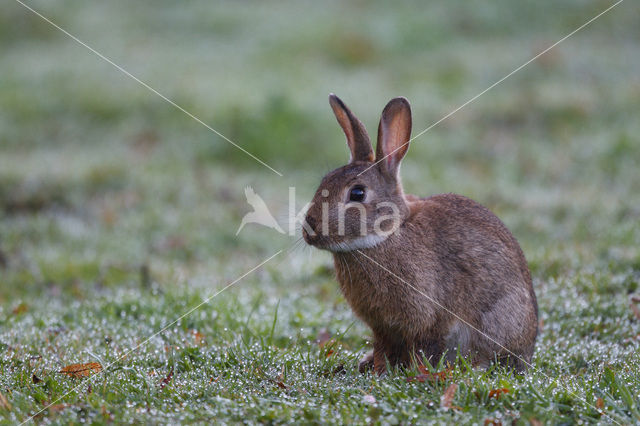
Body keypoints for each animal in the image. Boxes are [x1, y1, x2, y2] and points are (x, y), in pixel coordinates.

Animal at [302, 95, 536, 374]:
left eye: (357, 193)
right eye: (323, 182)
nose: (309, 229)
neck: (388, 234)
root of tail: (529, 346)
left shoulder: (428, 318)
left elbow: (425, 346)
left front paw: (411, 372)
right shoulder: (382, 327)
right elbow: (383, 347)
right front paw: (377, 368)